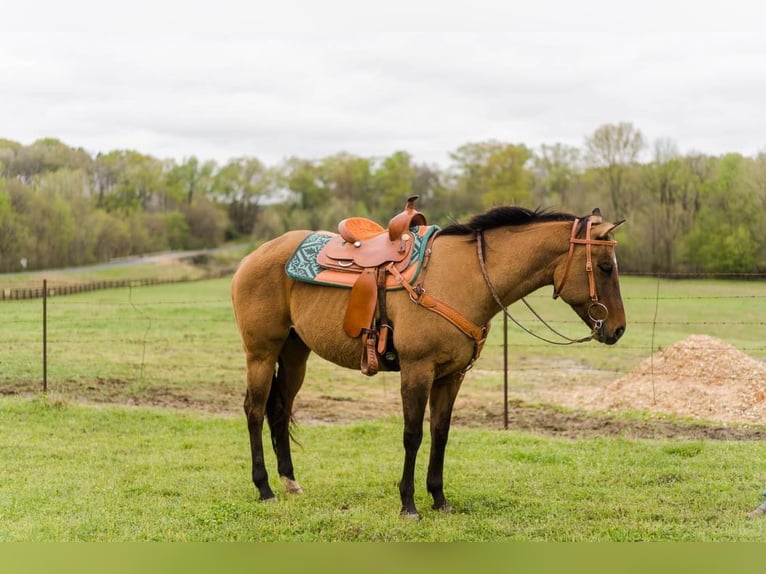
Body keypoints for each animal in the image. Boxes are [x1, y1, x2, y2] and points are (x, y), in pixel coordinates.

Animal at [231, 200, 628, 520]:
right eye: (605, 267)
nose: (618, 329)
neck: (464, 278)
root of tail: (252, 256)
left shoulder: (451, 377)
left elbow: (440, 434)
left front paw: (439, 498)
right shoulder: (417, 371)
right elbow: (413, 435)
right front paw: (408, 504)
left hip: (295, 353)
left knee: (279, 409)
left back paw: (290, 482)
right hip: (261, 353)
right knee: (254, 410)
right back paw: (264, 488)